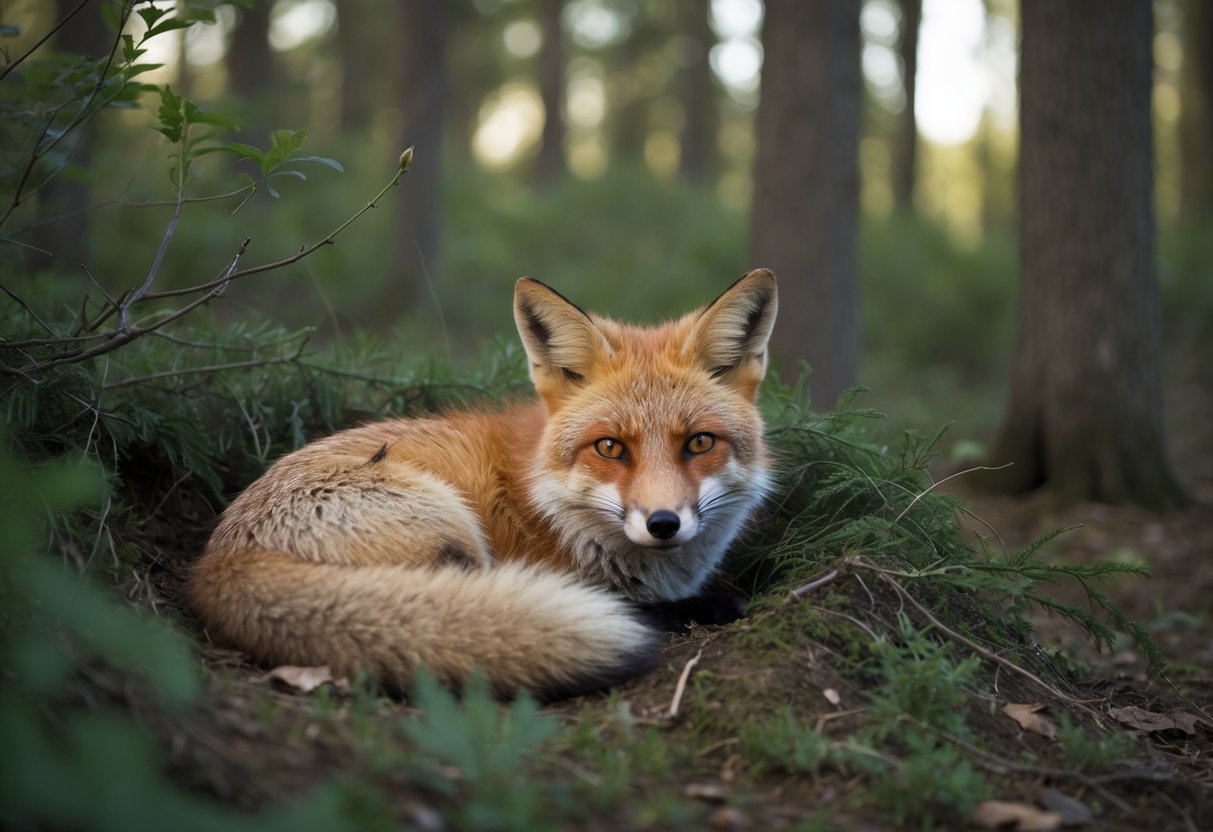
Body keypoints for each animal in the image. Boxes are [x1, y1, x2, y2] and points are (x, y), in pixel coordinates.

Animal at [188, 269, 778, 700]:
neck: (550, 504)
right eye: (610, 447)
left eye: (699, 443)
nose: (663, 523)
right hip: (451, 526)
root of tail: (217, 563)